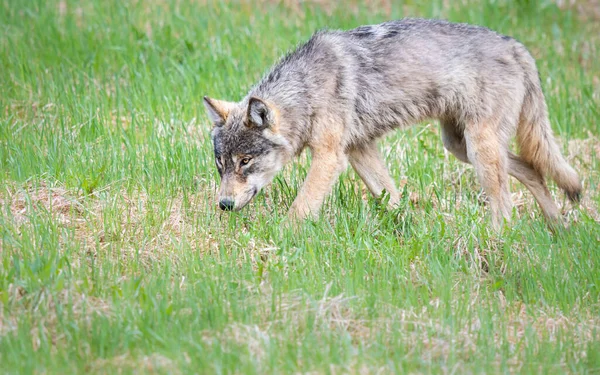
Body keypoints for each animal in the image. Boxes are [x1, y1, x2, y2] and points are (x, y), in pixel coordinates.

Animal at [203, 17, 580, 231]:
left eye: (245, 162)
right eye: (221, 165)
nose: (224, 205)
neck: (307, 88)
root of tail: (517, 46)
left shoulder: (330, 157)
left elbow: (302, 207)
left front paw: (282, 237)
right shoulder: (358, 150)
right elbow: (391, 198)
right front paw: (410, 231)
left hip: (478, 149)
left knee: (505, 203)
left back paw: (495, 242)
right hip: (461, 147)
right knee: (534, 170)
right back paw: (558, 230)